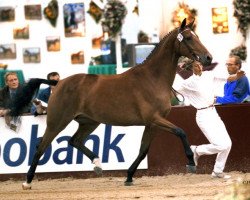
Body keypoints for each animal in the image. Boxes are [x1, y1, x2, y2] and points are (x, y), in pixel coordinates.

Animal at [10, 18, 213, 189]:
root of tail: (58, 83)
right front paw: (191, 163)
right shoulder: (155, 119)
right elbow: (181, 132)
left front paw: (129, 177)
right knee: (41, 147)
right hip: (58, 122)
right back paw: (27, 182)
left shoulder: (152, 124)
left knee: (74, 141)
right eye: (188, 38)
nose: (208, 58)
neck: (153, 78)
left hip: (89, 122)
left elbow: (143, 150)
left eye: (197, 36)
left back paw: (98, 165)